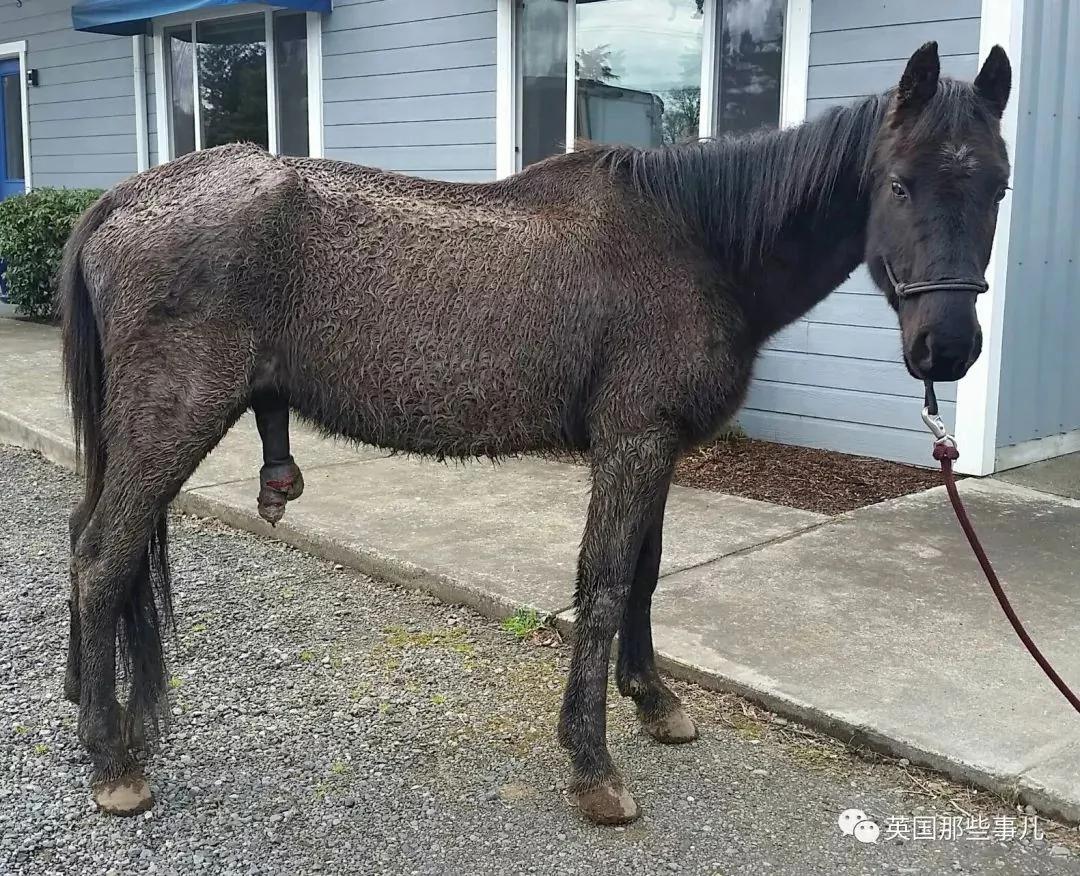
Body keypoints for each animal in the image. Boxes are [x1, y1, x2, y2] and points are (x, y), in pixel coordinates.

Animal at [59, 42, 1011, 825]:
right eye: (899, 183)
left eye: (997, 185)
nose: (948, 347)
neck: (695, 240)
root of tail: (123, 200)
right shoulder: (632, 443)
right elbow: (604, 583)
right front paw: (594, 766)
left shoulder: (657, 449)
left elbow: (645, 572)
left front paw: (653, 700)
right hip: (172, 423)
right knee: (105, 557)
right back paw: (113, 760)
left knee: (82, 538)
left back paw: (82, 697)